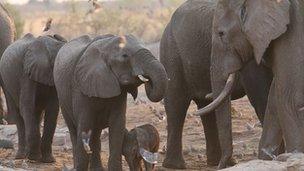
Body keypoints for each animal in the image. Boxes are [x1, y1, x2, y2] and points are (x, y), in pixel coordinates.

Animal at [0, 32, 67, 162]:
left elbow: (53, 108)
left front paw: (48, 160)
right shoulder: (26, 72)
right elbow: (26, 104)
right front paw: (34, 158)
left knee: (37, 114)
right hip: (7, 82)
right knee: (19, 115)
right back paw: (21, 156)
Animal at [197, 0, 304, 169]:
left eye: (221, 34)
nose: (222, 165)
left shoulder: (293, 33)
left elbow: (290, 100)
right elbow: (274, 100)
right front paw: (267, 158)